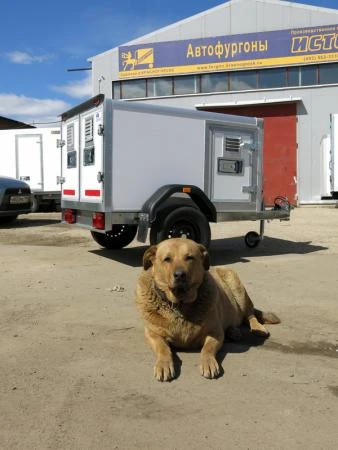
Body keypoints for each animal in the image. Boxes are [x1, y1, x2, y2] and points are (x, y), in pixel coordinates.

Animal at [135, 237, 280, 382]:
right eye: (167, 259)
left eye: (189, 257)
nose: (180, 275)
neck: (180, 304)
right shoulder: (152, 333)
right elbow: (163, 348)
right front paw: (164, 364)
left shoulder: (215, 332)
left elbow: (207, 349)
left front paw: (208, 363)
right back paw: (234, 331)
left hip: (237, 287)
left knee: (249, 314)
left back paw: (257, 328)